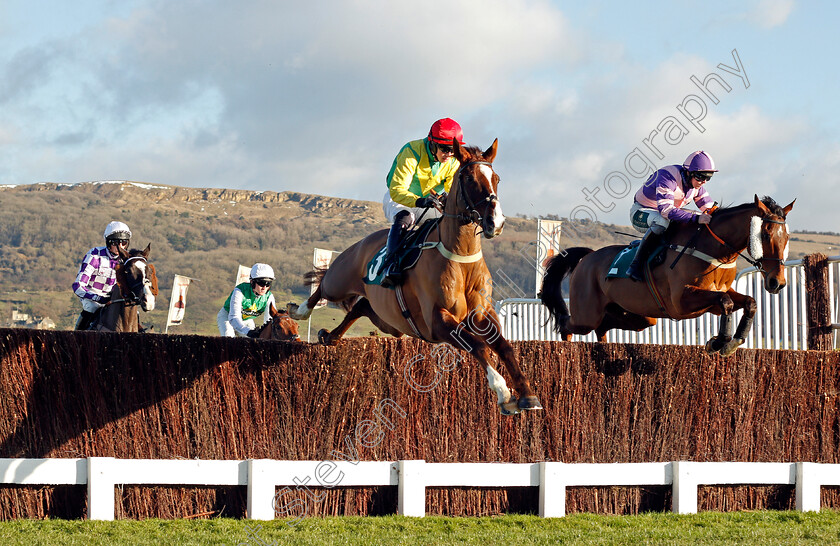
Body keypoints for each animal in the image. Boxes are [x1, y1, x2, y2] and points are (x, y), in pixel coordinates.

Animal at [286, 138, 540, 414]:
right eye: (469, 178)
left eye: (496, 178)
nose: (496, 222)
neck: (461, 258)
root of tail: (362, 243)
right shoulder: (438, 321)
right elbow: (480, 346)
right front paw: (503, 392)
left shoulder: (482, 315)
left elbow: (504, 346)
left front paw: (528, 395)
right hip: (341, 279)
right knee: (323, 287)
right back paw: (299, 311)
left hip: (388, 320)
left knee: (361, 306)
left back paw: (329, 336)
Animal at [540, 193, 796, 354]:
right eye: (765, 234)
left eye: (787, 236)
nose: (777, 282)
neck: (711, 249)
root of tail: (588, 257)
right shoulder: (681, 301)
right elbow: (725, 302)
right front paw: (719, 342)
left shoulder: (711, 298)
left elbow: (748, 303)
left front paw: (731, 342)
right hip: (586, 314)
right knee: (567, 324)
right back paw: (564, 348)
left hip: (639, 316)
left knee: (603, 327)